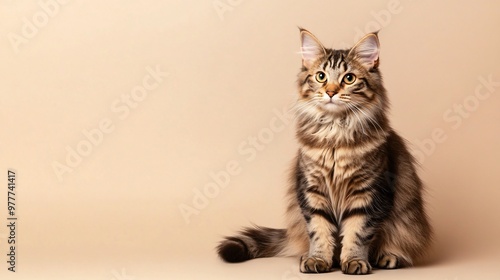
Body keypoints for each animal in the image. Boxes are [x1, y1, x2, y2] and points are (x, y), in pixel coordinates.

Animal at [217, 29, 432, 276]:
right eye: (321, 76)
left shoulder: (368, 192)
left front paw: (354, 261)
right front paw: (317, 259)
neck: (334, 135)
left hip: (407, 224)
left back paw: (388, 257)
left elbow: (357, 232)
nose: (330, 92)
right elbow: (319, 231)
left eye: (349, 78)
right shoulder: (312, 190)